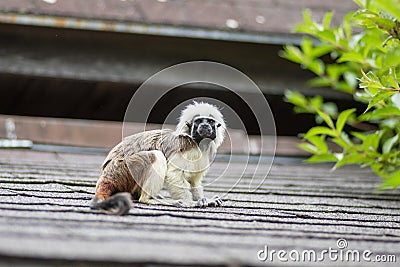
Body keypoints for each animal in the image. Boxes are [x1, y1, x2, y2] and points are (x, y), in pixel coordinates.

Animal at [90, 102, 225, 216]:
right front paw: (189, 202)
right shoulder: (188, 147)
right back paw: (149, 199)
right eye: (199, 121)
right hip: (122, 170)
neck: (200, 144)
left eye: (210, 121)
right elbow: (174, 174)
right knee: (156, 155)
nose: (205, 126)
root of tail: (106, 174)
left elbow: (194, 181)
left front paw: (204, 199)